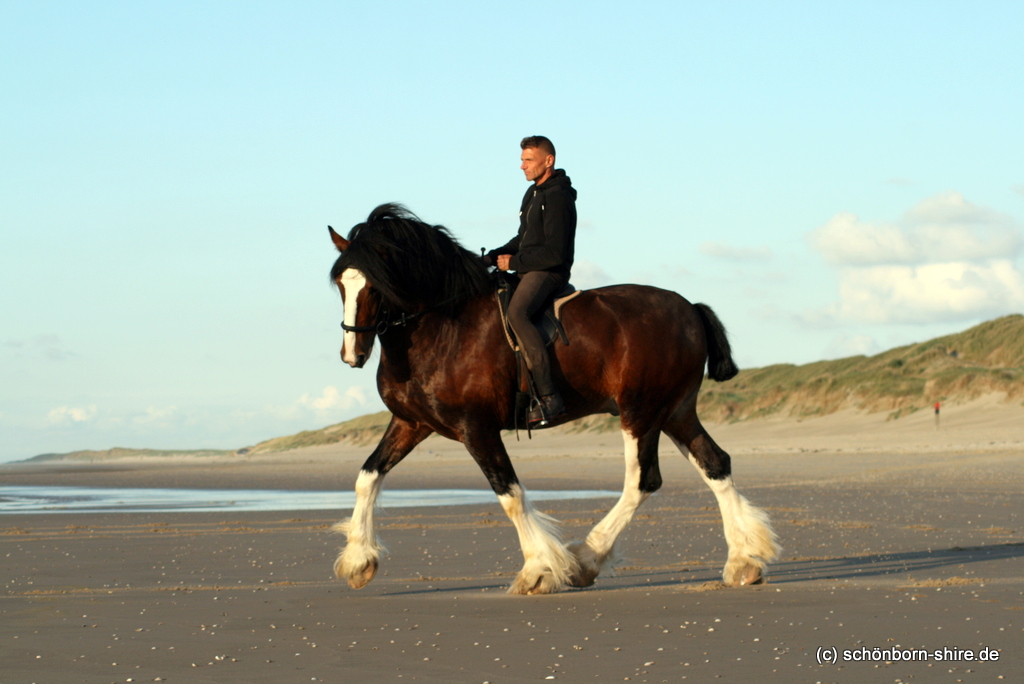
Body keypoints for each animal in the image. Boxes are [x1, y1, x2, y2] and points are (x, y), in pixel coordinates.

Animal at [327, 202, 774, 593]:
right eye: (341, 285)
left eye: (376, 285)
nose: (352, 354)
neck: (442, 327)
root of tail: (690, 309)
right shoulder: (412, 423)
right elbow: (367, 476)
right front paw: (359, 560)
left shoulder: (477, 429)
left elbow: (510, 494)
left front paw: (539, 571)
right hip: (675, 412)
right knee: (715, 464)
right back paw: (743, 562)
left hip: (641, 413)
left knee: (642, 481)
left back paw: (587, 559)